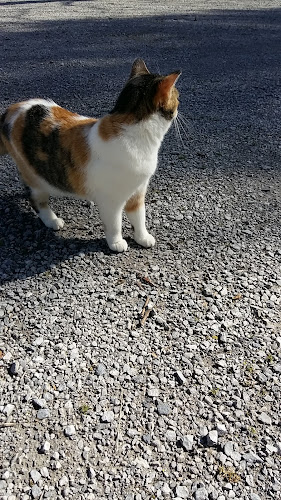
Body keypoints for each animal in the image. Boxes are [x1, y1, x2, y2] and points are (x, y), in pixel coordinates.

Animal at [0, 59, 179, 252]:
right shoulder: (111, 200)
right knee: (36, 199)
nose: (179, 101)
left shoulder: (138, 191)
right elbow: (114, 224)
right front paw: (116, 242)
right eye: (177, 95)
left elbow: (139, 217)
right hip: (34, 176)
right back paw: (52, 220)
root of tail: (10, 110)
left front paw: (142, 237)